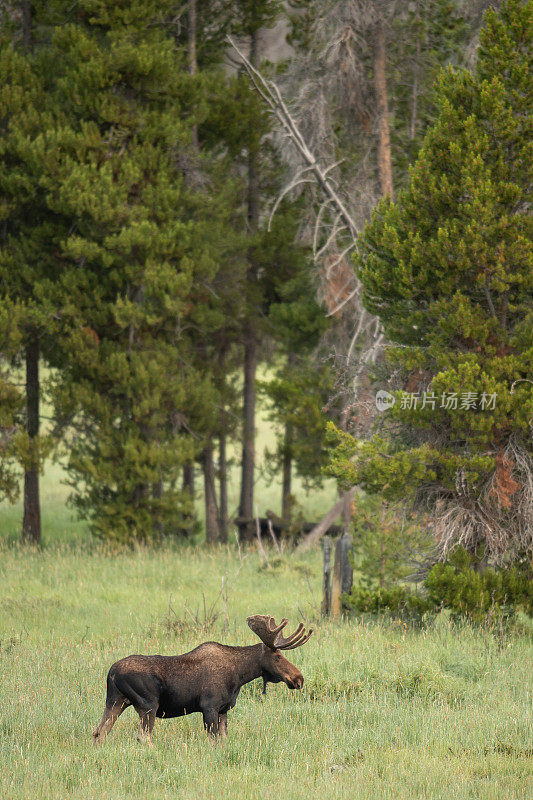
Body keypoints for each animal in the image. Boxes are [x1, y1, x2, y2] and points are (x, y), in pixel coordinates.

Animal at [94, 612, 314, 744]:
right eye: (277, 656)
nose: (299, 678)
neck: (239, 675)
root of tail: (111, 673)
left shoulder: (224, 709)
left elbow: (224, 740)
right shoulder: (209, 706)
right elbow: (214, 740)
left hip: (116, 701)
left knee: (99, 731)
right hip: (147, 704)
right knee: (143, 736)